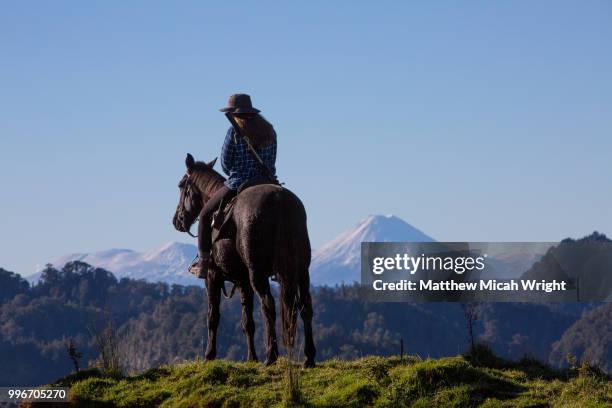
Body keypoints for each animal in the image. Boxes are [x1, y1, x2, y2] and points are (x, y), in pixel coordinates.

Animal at [172, 152, 316, 366]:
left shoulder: (213, 276)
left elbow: (213, 317)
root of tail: (281, 202)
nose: (177, 220)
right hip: (301, 271)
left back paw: (271, 356)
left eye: (182, 186)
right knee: (305, 306)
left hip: (258, 273)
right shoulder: (243, 281)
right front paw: (252, 358)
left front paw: (209, 356)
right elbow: (247, 322)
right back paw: (309, 357)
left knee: (268, 306)